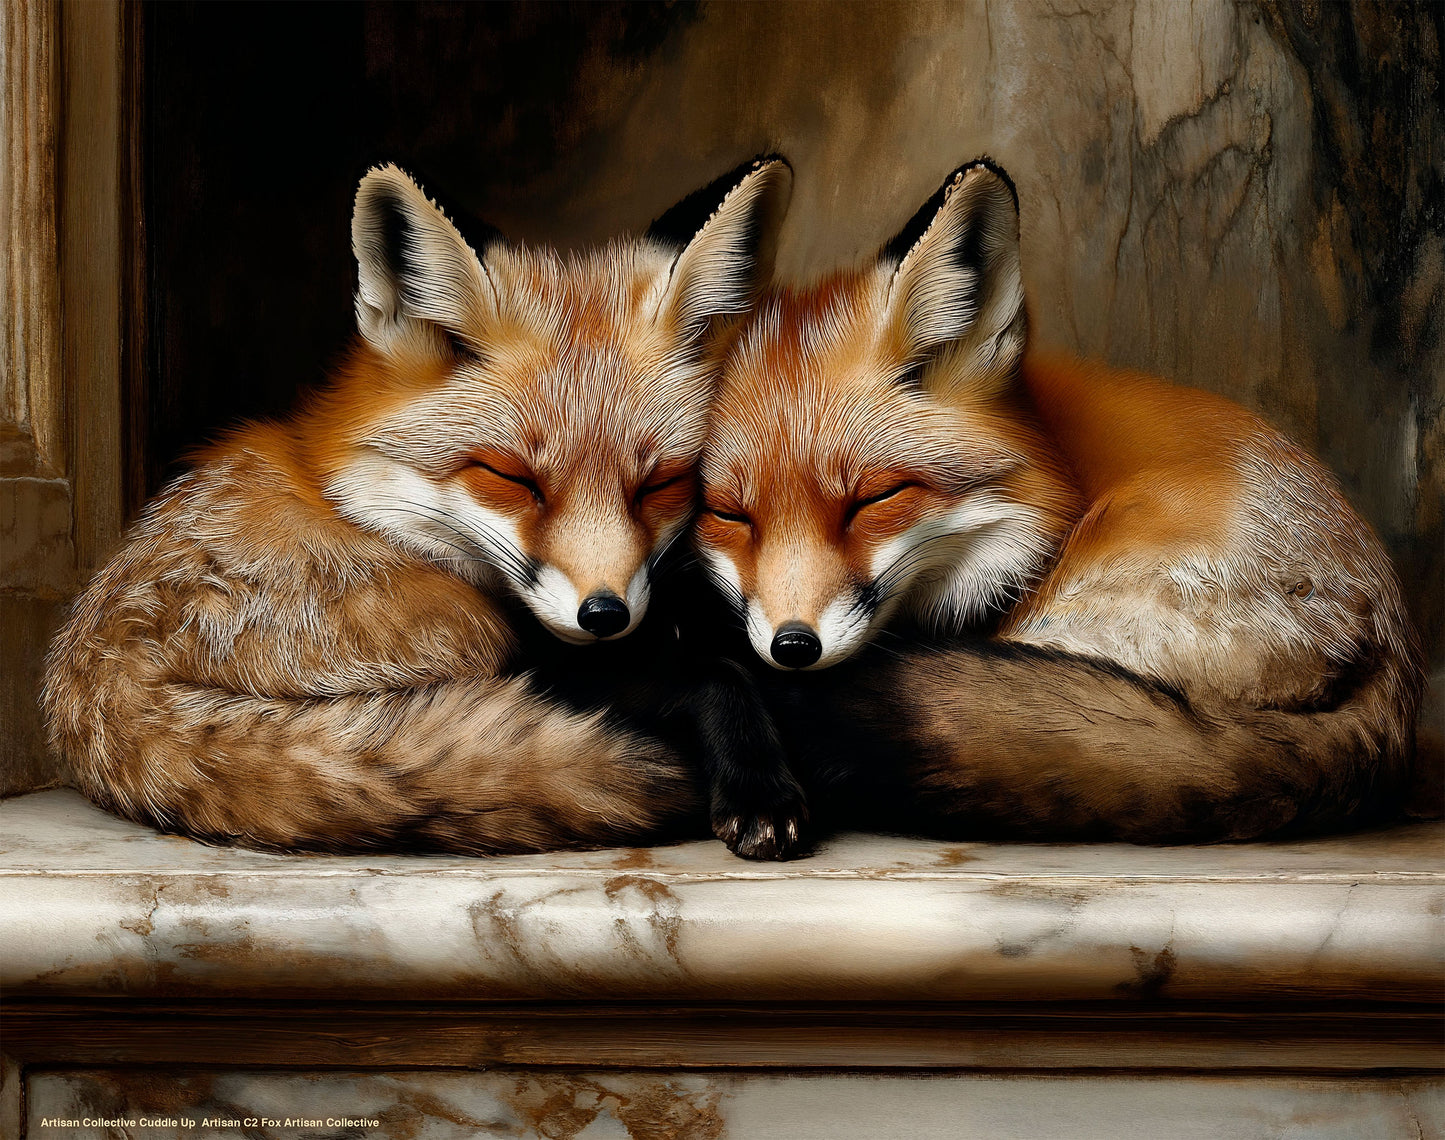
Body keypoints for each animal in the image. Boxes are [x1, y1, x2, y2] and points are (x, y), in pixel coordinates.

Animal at [42, 156, 792, 854]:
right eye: (512, 477)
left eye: (659, 483)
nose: (604, 614)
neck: (349, 492)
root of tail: (105, 682)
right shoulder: (549, 655)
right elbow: (713, 672)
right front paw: (757, 785)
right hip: (468, 630)